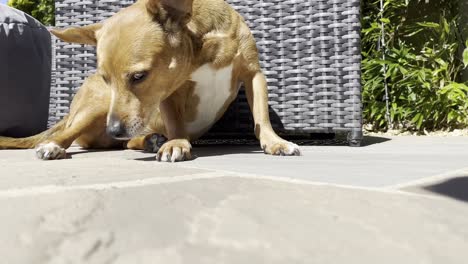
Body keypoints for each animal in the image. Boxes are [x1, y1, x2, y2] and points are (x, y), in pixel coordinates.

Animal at [0, 0, 300, 161]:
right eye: (106, 79)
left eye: (139, 76)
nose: (114, 129)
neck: (203, 46)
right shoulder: (167, 91)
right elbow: (175, 122)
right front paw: (177, 143)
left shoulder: (253, 75)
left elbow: (261, 118)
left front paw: (274, 142)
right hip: (94, 109)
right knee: (64, 135)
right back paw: (52, 147)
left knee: (129, 142)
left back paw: (150, 140)